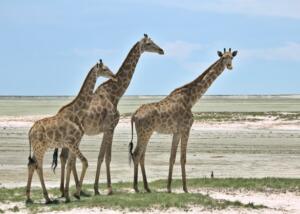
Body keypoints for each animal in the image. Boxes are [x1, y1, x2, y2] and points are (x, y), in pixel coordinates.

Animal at [25, 59, 116, 203]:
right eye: (105, 69)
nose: (114, 76)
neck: (77, 113)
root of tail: (30, 131)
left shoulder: (73, 143)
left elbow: (70, 164)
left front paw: (68, 195)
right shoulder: (72, 143)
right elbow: (84, 162)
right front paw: (76, 193)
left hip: (39, 147)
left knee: (32, 165)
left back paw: (29, 197)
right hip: (40, 148)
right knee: (38, 166)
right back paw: (47, 198)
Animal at [51, 33, 164, 196]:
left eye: (153, 41)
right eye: (149, 43)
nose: (161, 50)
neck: (115, 94)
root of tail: (59, 113)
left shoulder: (105, 129)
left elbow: (100, 156)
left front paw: (97, 188)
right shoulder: (111, 127)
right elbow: (107, 157)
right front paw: (109, 189)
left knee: (64, 157)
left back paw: (70, 190)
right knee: (66, 157)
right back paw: (71, 190)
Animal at [127, 48, 238, 192]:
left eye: (232, 57)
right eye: (224, 57)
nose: (230, 66)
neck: (191, 99)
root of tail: (134, 114)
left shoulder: (177, 132)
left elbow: (172, 158)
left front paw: (169, 188)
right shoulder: (186, 129)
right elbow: (183, 158)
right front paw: (185, 188)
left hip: (146, 133)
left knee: (141, 155)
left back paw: (147, 187)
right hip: (144, 132)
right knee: (136, 154)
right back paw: (136, 187)